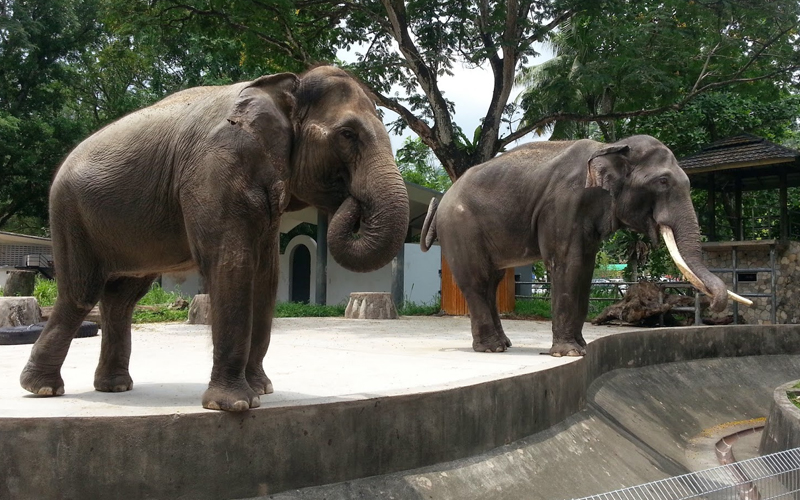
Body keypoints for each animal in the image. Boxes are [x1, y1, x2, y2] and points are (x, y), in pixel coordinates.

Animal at [20, 66, 409, 411]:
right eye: (348, 134)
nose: (352, 201)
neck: (286, 85)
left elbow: (266, 276)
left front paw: (262, 390)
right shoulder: (214, 168)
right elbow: (232, 264)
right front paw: (235, 404)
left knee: (122, 298)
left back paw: (113, 387)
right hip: (69, 212)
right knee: (81, 293)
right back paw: (42, 389)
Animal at [420, 135, 748, 356]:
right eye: (663, 182)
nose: (714, 308)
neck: (611, 145)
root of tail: (443, 198)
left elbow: (586, 268)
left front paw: (582, 348)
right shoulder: (564, 202)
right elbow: (569, 263)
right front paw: (569, 353)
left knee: (491, 282)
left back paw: (503, 344)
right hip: (460, 227)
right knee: (477, 281)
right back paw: (491, 349)